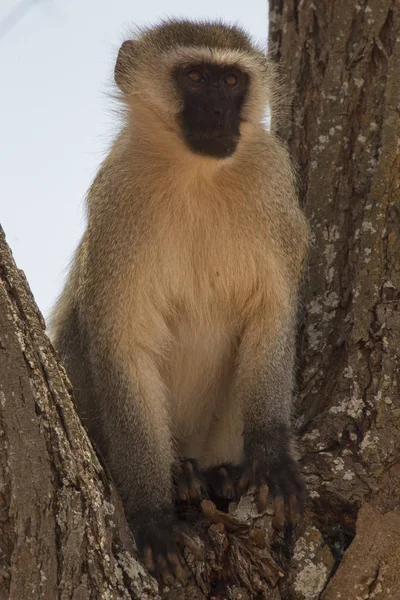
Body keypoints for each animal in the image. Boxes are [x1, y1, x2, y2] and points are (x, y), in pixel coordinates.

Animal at [50, 18, 310, 580]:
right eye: (194, 76)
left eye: (231, 82)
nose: (217, 113)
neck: (196, 176)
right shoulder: (117, 202)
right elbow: (121, 349)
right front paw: (152, 513)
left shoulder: (273, 185)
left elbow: (271, 312)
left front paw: (271, 453)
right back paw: (183, 476)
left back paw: (216, 476)